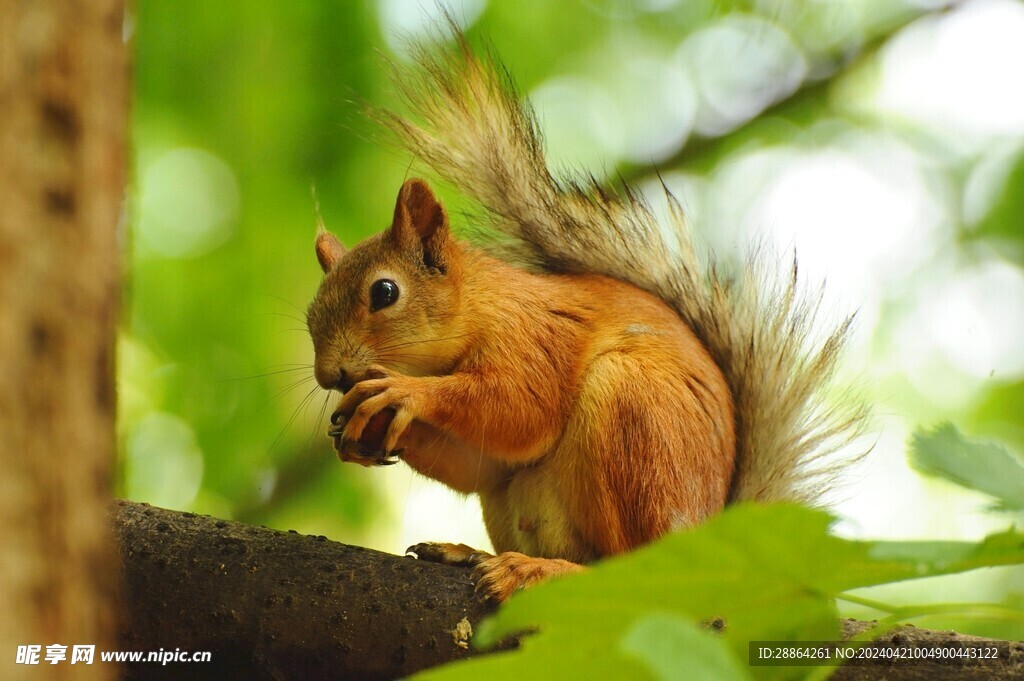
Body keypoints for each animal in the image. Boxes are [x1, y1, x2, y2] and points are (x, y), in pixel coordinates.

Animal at [307, 22, 868, 602]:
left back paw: (537, 570)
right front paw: (357, 429)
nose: (330, 375)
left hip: (632, 419)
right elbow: (480, 464)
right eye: (309, 313)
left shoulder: (535, 338)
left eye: (384, 292)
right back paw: (470, 554)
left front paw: (404, 392)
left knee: (628, 569)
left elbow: (520, 409)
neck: (481, 306)